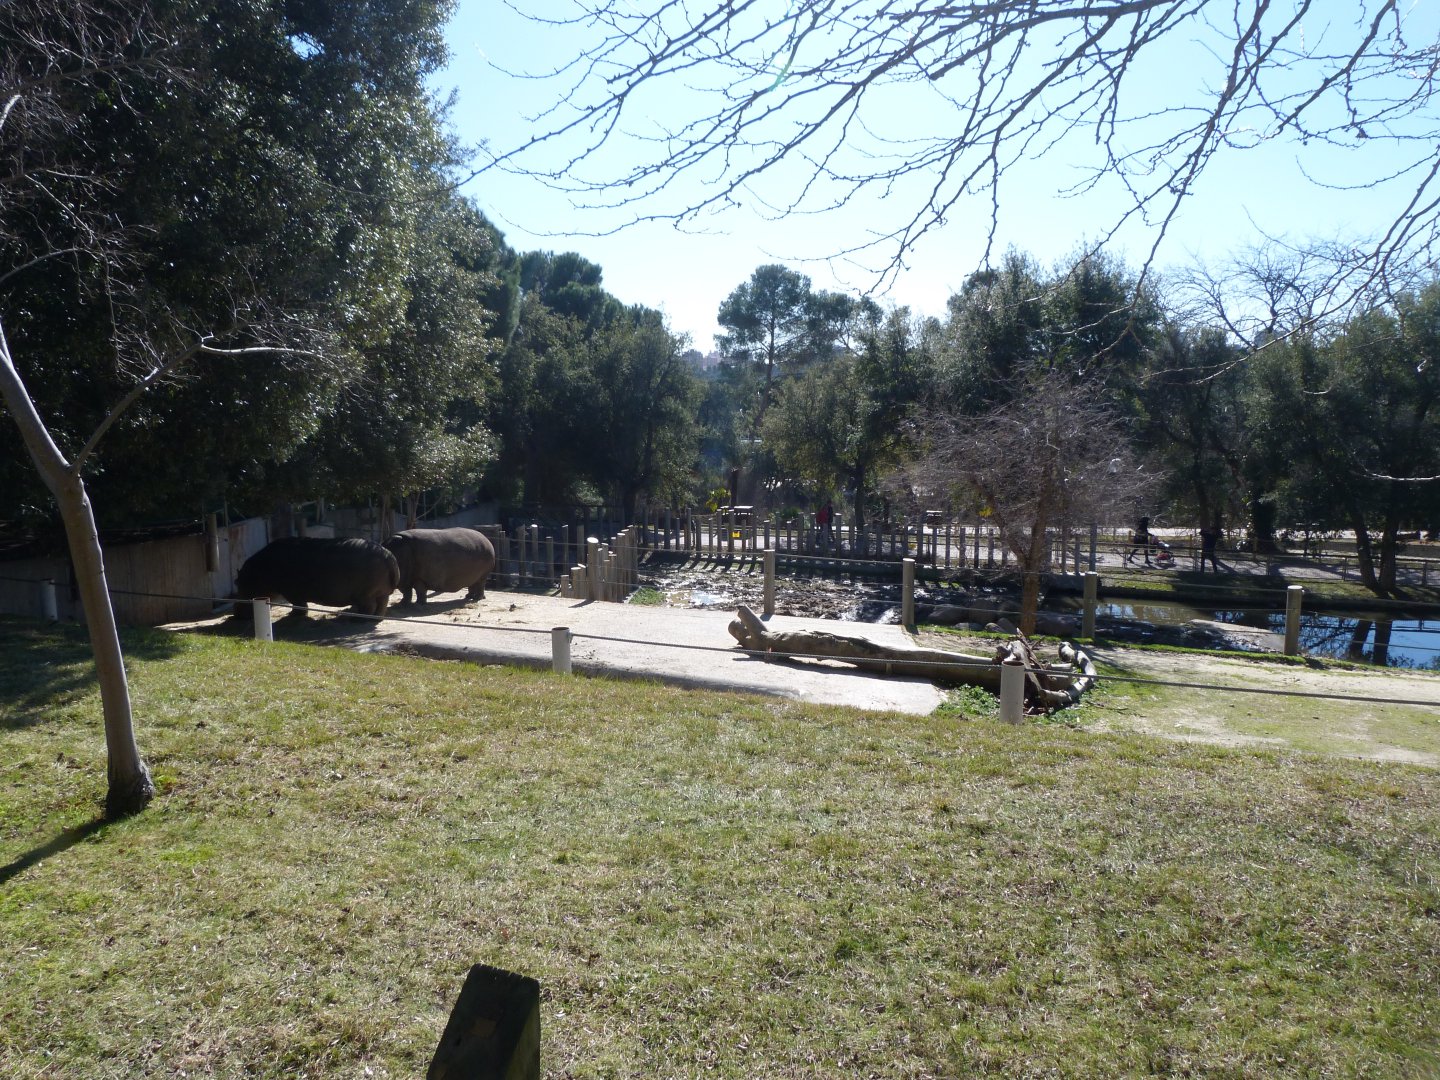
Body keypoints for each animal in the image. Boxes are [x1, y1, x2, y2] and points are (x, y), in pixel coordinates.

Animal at [233, 536, 399, 618]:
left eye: (239, 584)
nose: (235, 615)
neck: (259, 571)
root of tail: (389, 556)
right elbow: (301, 604)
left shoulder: (290, 591)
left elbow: (299, 604)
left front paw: (293, 614)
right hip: (380, 592)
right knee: (381, 605)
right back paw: (374, 618)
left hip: (365, 594)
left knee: (369, 606)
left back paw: (357, 619)